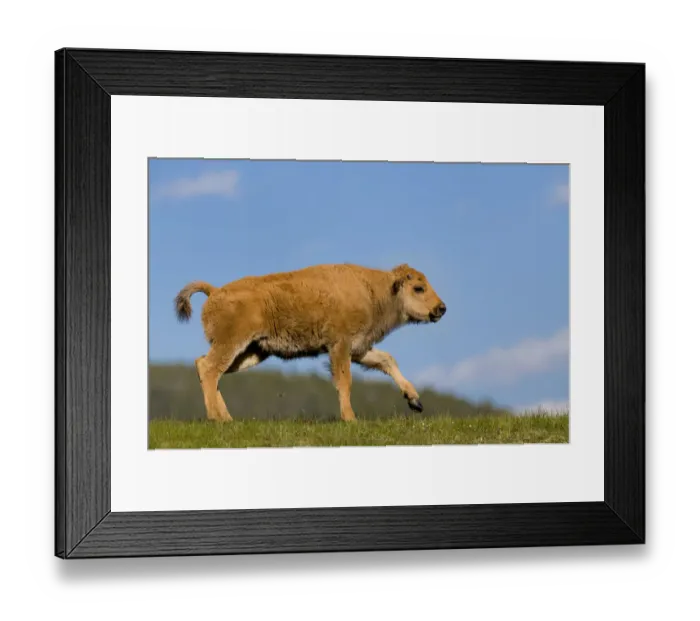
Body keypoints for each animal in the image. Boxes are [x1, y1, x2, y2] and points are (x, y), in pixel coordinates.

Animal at [174, 263, 447, 422]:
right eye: (419, 288)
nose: (441, 308)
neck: (375, 292)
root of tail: (215, 290)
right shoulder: (340, 346)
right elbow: (345, 381)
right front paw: (350, 418)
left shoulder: (359, 348)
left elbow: (387, 360)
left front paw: (415, 400)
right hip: (232, 345)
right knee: (209, 368)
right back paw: (216, 418)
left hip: (251, 352)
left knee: (208, 369)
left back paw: (227, 418)